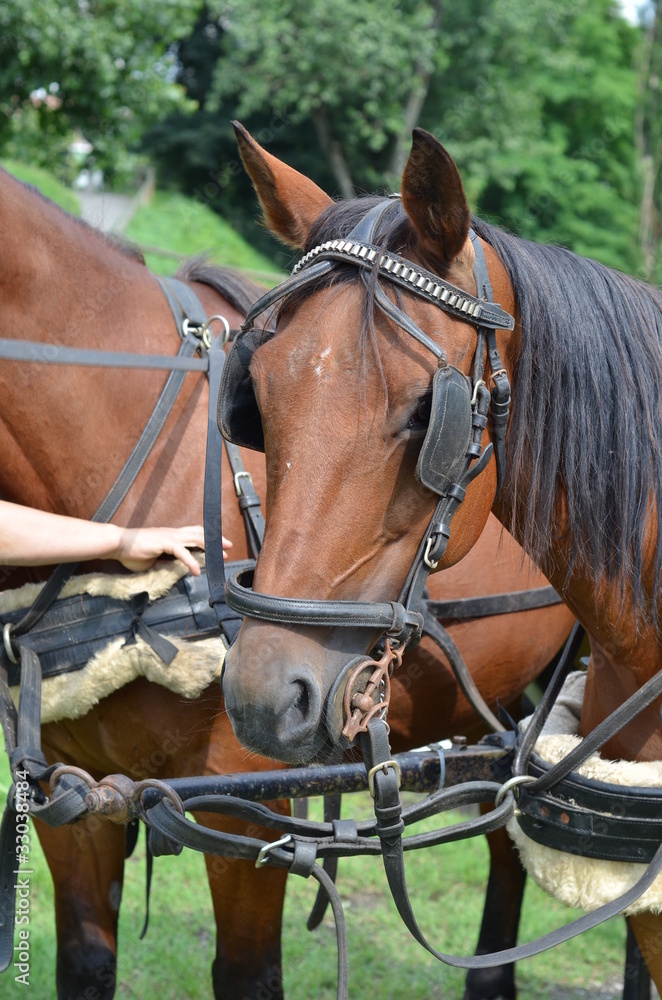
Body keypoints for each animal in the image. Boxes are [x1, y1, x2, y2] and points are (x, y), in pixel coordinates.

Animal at [0, 161, 573, 1000]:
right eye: (255, 404)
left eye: (424, 417)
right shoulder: (71, 795)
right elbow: (85, 959)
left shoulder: (246, 808)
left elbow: (248, 974)